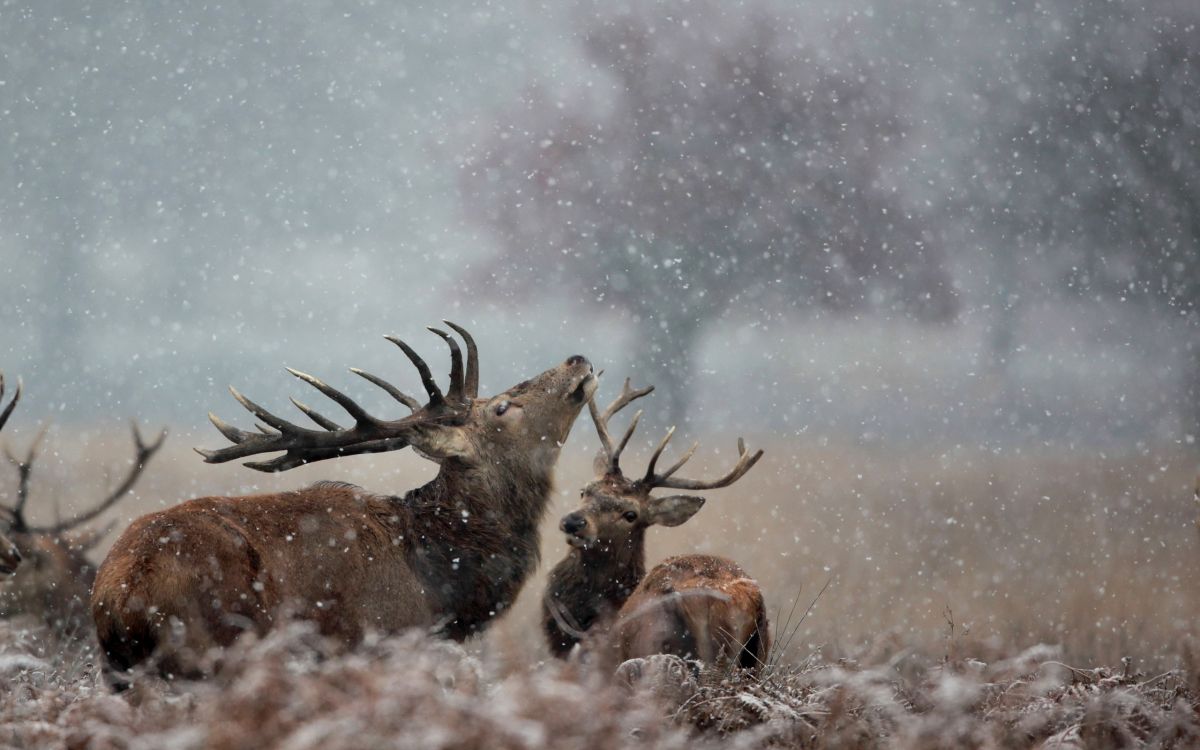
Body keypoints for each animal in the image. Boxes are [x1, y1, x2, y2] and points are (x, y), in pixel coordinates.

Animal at [91, 321, 597, 686]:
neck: (440, 588)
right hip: (213, 650)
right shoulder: (378, 641)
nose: (577, 359)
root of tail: (119, 595)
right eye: (502, 407)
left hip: (120, 674)